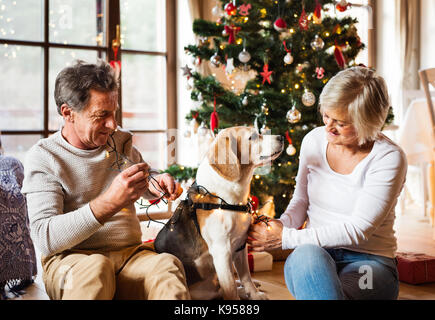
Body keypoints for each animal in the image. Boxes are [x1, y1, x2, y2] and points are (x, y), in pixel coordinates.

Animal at [155, 125, 284, 300]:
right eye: (253, 137)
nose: (282, 137)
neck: (229, 199)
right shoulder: (222, 252)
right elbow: (230, 289)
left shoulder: (240, 246)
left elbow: (246, 276)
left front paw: (254, 294)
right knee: (222, 289)